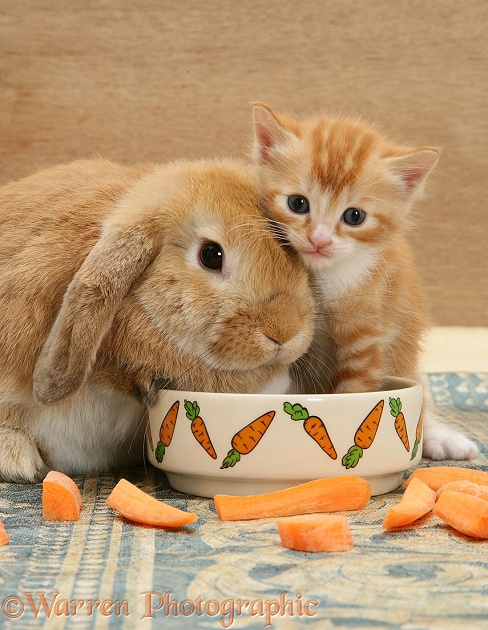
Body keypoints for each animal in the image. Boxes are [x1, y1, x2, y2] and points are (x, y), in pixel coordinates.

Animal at [254, 101, 478, 462]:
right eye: (298, 203)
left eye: (354, 216)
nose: (319, 240)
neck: (321, 276)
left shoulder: (367, 327)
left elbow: (356, 390)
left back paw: (440, 439)